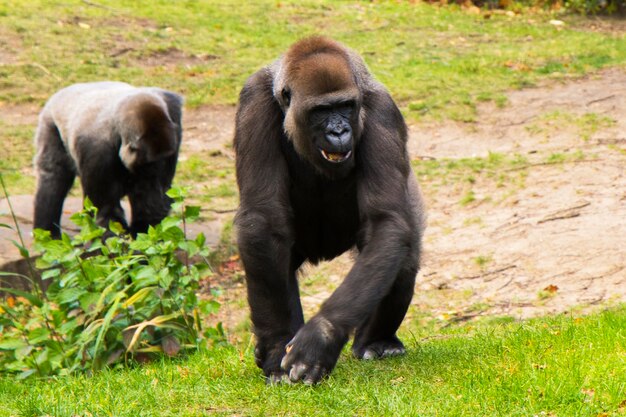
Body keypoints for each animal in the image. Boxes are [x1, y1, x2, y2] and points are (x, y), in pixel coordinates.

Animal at [33, 81, 183, 237]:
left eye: (165, 159)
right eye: (150, 164)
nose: (156, 173)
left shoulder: (174, 116)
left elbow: (154, 201)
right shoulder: (97, 149)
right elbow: (107, 211)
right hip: (49, 122)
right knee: (53, 179)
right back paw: (47, 234)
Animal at [234, 36, 424, 384]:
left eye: (346, 106)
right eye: (321, 110)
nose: (338, 132)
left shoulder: (381, 109)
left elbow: (387, 221)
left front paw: (321, 336)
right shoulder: (254, 98)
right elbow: (262, 220)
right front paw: (277, 345)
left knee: (403, 256)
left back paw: (376, 342)